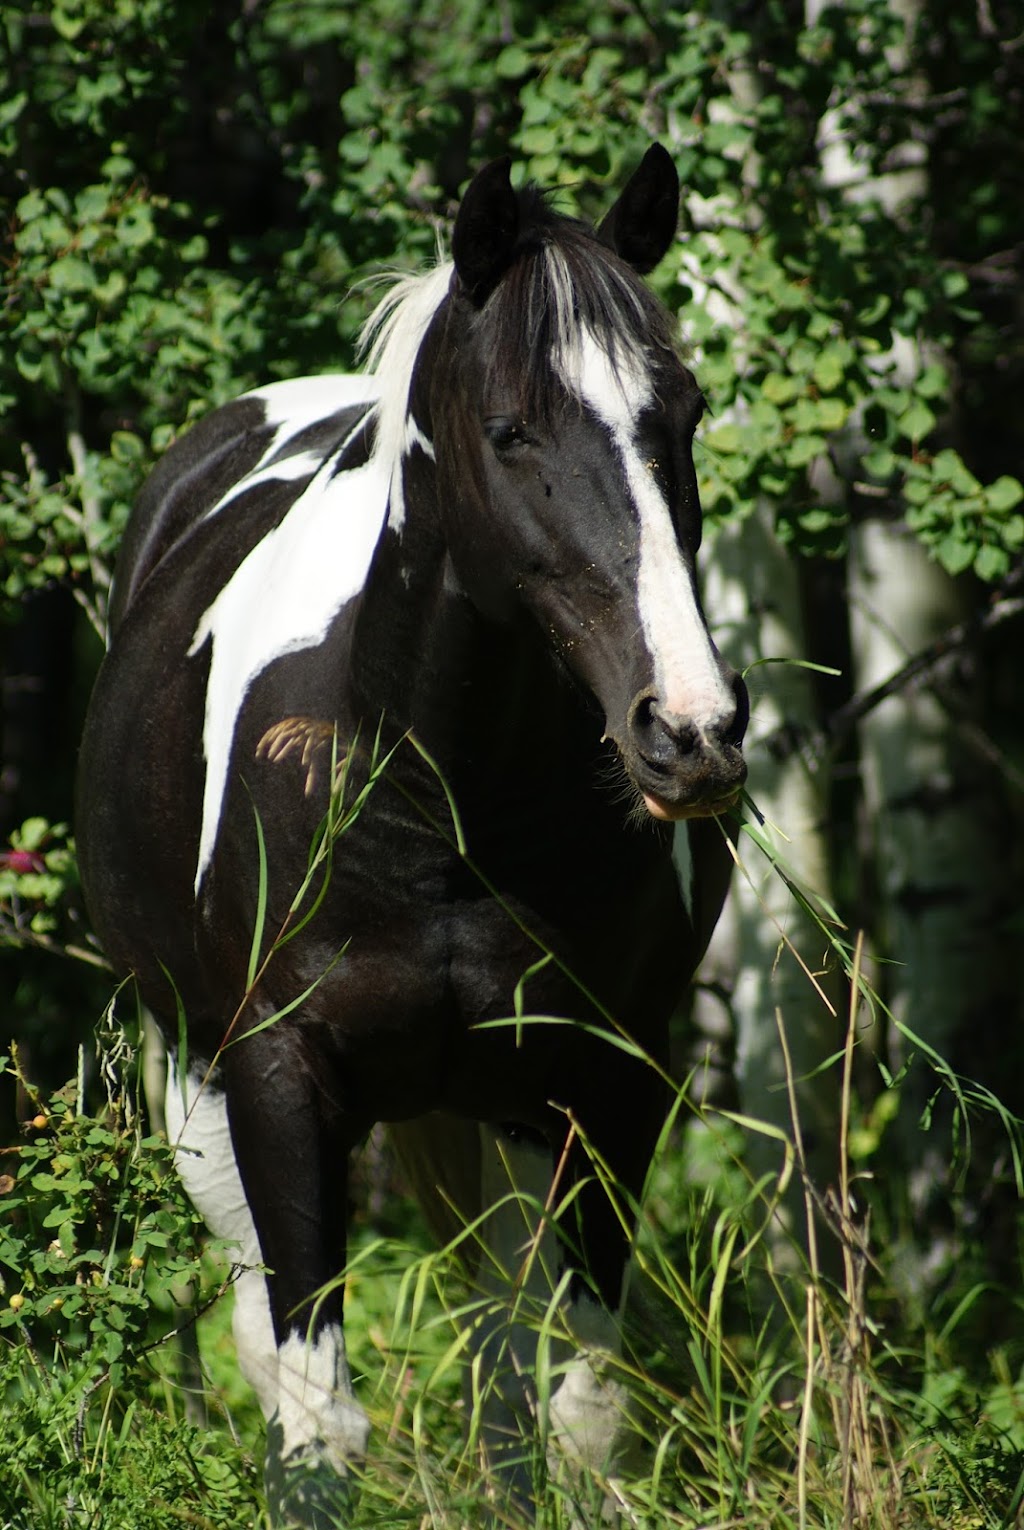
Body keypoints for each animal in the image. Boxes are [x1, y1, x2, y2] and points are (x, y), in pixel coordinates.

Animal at [75, 140, 746, 1517]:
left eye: (686, 415)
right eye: (511, 428)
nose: (691, 731)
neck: (436, 815)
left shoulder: (607, 1086)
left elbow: (574, 1408)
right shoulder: (278, 1082)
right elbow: (317, 1425)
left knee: (499, 1356)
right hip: (195, 1086)